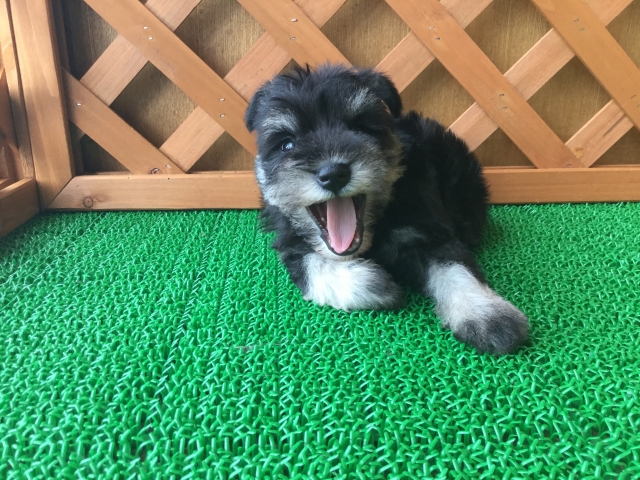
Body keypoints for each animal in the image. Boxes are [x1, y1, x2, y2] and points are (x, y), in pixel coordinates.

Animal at [244, 64, 529, 355]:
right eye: (287, 144)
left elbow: (456, 269)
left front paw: (487, 316)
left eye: (361, 128)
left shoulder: (428, 233)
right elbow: (314, 265)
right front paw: (374, 284)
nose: (333, 173)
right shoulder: (291, 244)